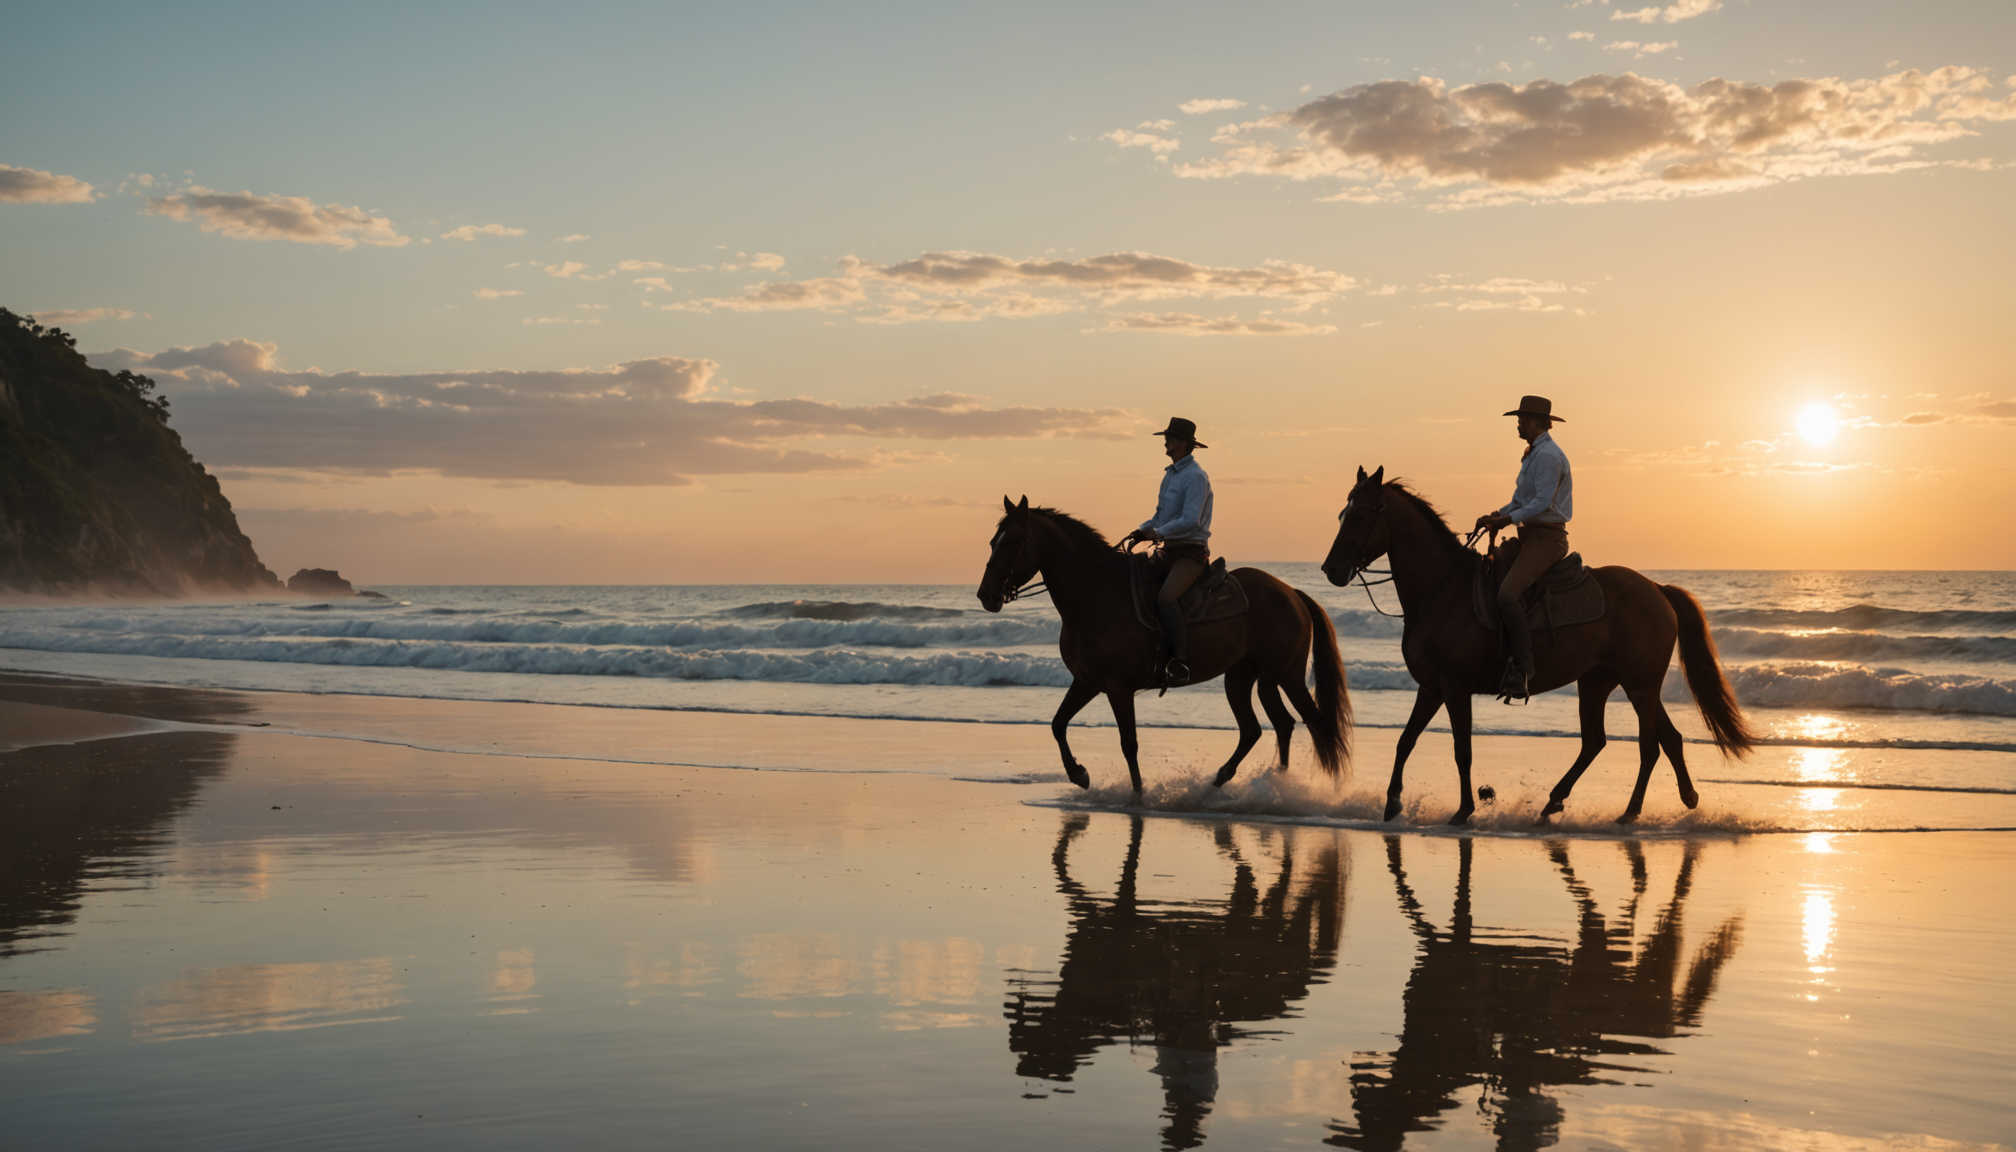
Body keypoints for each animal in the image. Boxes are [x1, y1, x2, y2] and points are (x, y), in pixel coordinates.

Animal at [977, 496, 1350, 793]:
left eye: (1012, 541)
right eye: (993, 540)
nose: (986, 595)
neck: (1095, 595)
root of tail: (1291, 593)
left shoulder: (1118, 687)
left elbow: (1129, 743)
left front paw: (1138, 794)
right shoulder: (1086, 682)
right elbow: (1057, 724)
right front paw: (1079, 774)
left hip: (1286, 676)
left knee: (1315, 725)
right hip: (1246, 677)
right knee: (1266, 728)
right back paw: (1245, 780)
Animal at [1319, 468, 1756, 825]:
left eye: (1361, 515)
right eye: (1341, 514)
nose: (1332, 569)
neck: (1442, 589)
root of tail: (1656, 589)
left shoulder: (1455, 688)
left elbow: (1462, 749)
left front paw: (1463, 811)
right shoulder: (1431, 688)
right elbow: (1406, 740)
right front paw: (1392, 802)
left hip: (1638, 684)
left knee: (1648, 744)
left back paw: (1629, 812)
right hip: (1604, 681)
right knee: (1628, 739)